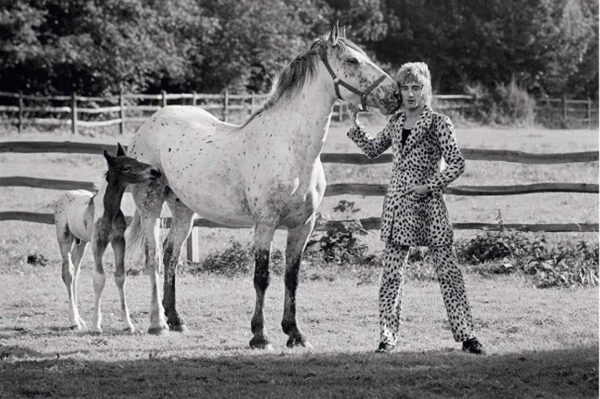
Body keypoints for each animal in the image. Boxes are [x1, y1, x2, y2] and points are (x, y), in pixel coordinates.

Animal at [53, 145, 161, 332]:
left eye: (135, 160)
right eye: (126, 167)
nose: (155, 171)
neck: (109, 210)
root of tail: (65, 195)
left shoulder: (118, 241)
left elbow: (120, 277)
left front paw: (128, 324)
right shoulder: (98, 243)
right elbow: (99, 279)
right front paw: (96, 325)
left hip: (82, 243)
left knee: (76, 271)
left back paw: (80, 319)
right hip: (64, 238)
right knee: (68, 272)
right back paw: (74, 321)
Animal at [125, 25, 398, 348]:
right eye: (352, 60)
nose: (395, 95)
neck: (291, 149)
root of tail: (149, 123)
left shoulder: (303, 226)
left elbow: (292, 278)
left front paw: (295, 333)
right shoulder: (265, 224)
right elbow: (262, 277)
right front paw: (259, 335)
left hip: (183, 210)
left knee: (171, 255)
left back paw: (176, 319)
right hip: (150, 204)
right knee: (153, 257)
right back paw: (158, 324)